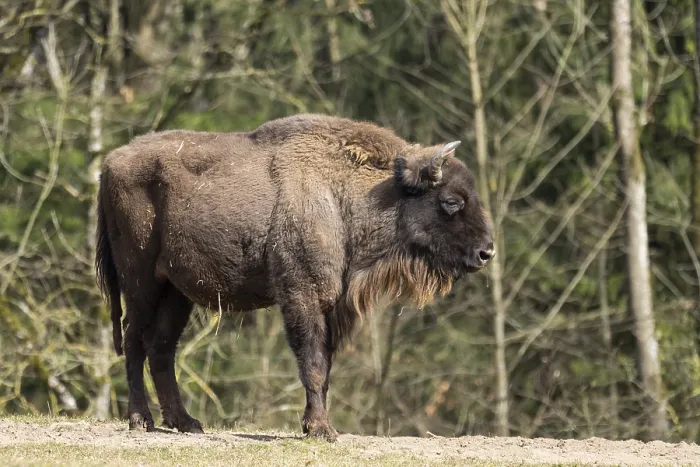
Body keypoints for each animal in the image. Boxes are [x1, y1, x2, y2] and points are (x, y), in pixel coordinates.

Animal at [95, 113, 494, 441]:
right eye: (451, 201)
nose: (486, 252)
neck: (347, 192)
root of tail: (110, 163)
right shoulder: (303, 295)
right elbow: (313, 364)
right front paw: (321, 430)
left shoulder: (331, 303)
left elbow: (326, 366)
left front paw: (316, 425)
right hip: (141, 282)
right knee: (134, 340)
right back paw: (141, 419)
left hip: (176, 292)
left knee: (161, 347)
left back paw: (185, 422)